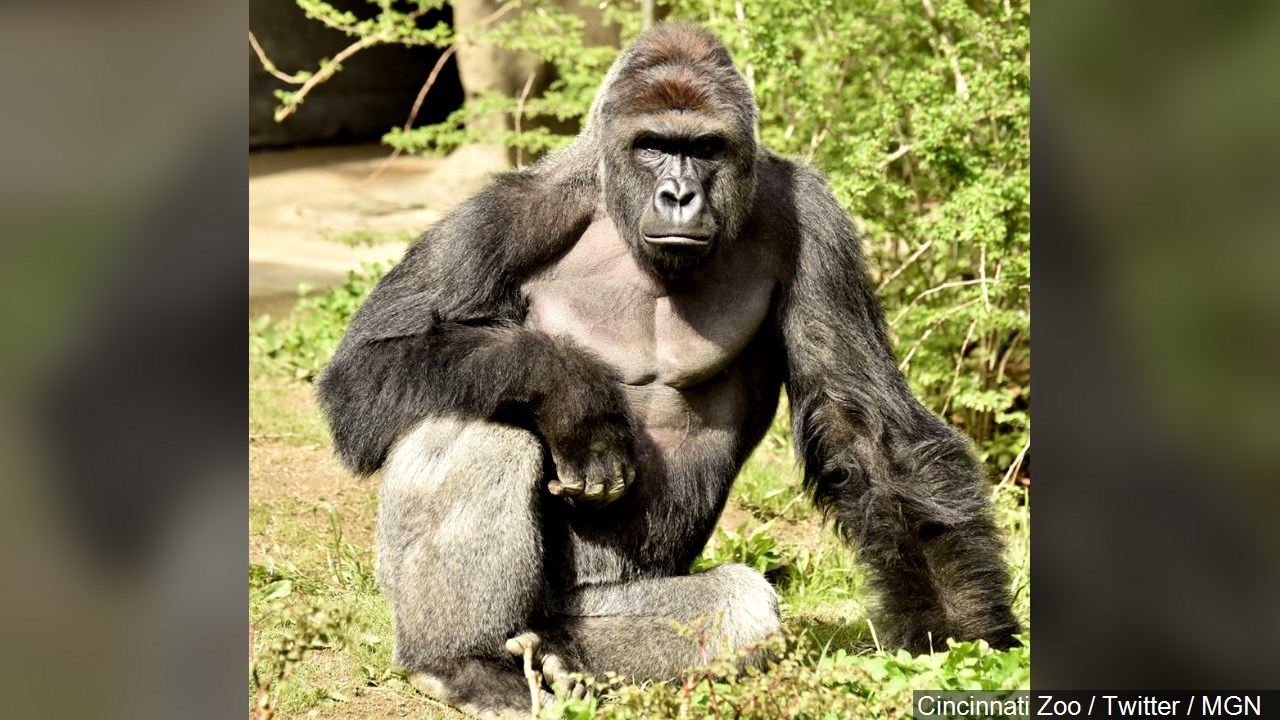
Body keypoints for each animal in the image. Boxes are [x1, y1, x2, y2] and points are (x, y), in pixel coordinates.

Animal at [317, 22, 1019, 717]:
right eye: (653, 146)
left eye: (704, 148)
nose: (678, 194)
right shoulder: (506, 214)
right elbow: (365, 366)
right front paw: (570, 392)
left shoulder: (817, 226)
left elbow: (864, 425)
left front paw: (961, 634)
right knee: (476, 419)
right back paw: (461, 661)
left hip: (595, 610)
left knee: (734, 607)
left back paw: (558, 658)